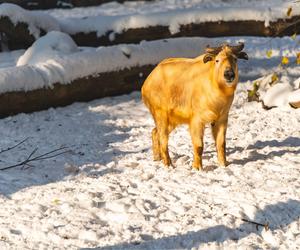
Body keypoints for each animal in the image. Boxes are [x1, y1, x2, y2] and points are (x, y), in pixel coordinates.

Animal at [142, 43, 248, 171]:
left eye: (235, 59)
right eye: (217, 60)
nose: (229, 75)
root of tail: (148, 80)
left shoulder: (222, 119)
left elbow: (221, 143)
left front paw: (224, 164)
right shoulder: (197, 120)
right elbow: (199, 146)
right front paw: (197, 167)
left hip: (172, 121)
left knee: (154, 132)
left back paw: (157, 158)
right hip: (161, 115)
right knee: (163, 140)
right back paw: (168, 164)